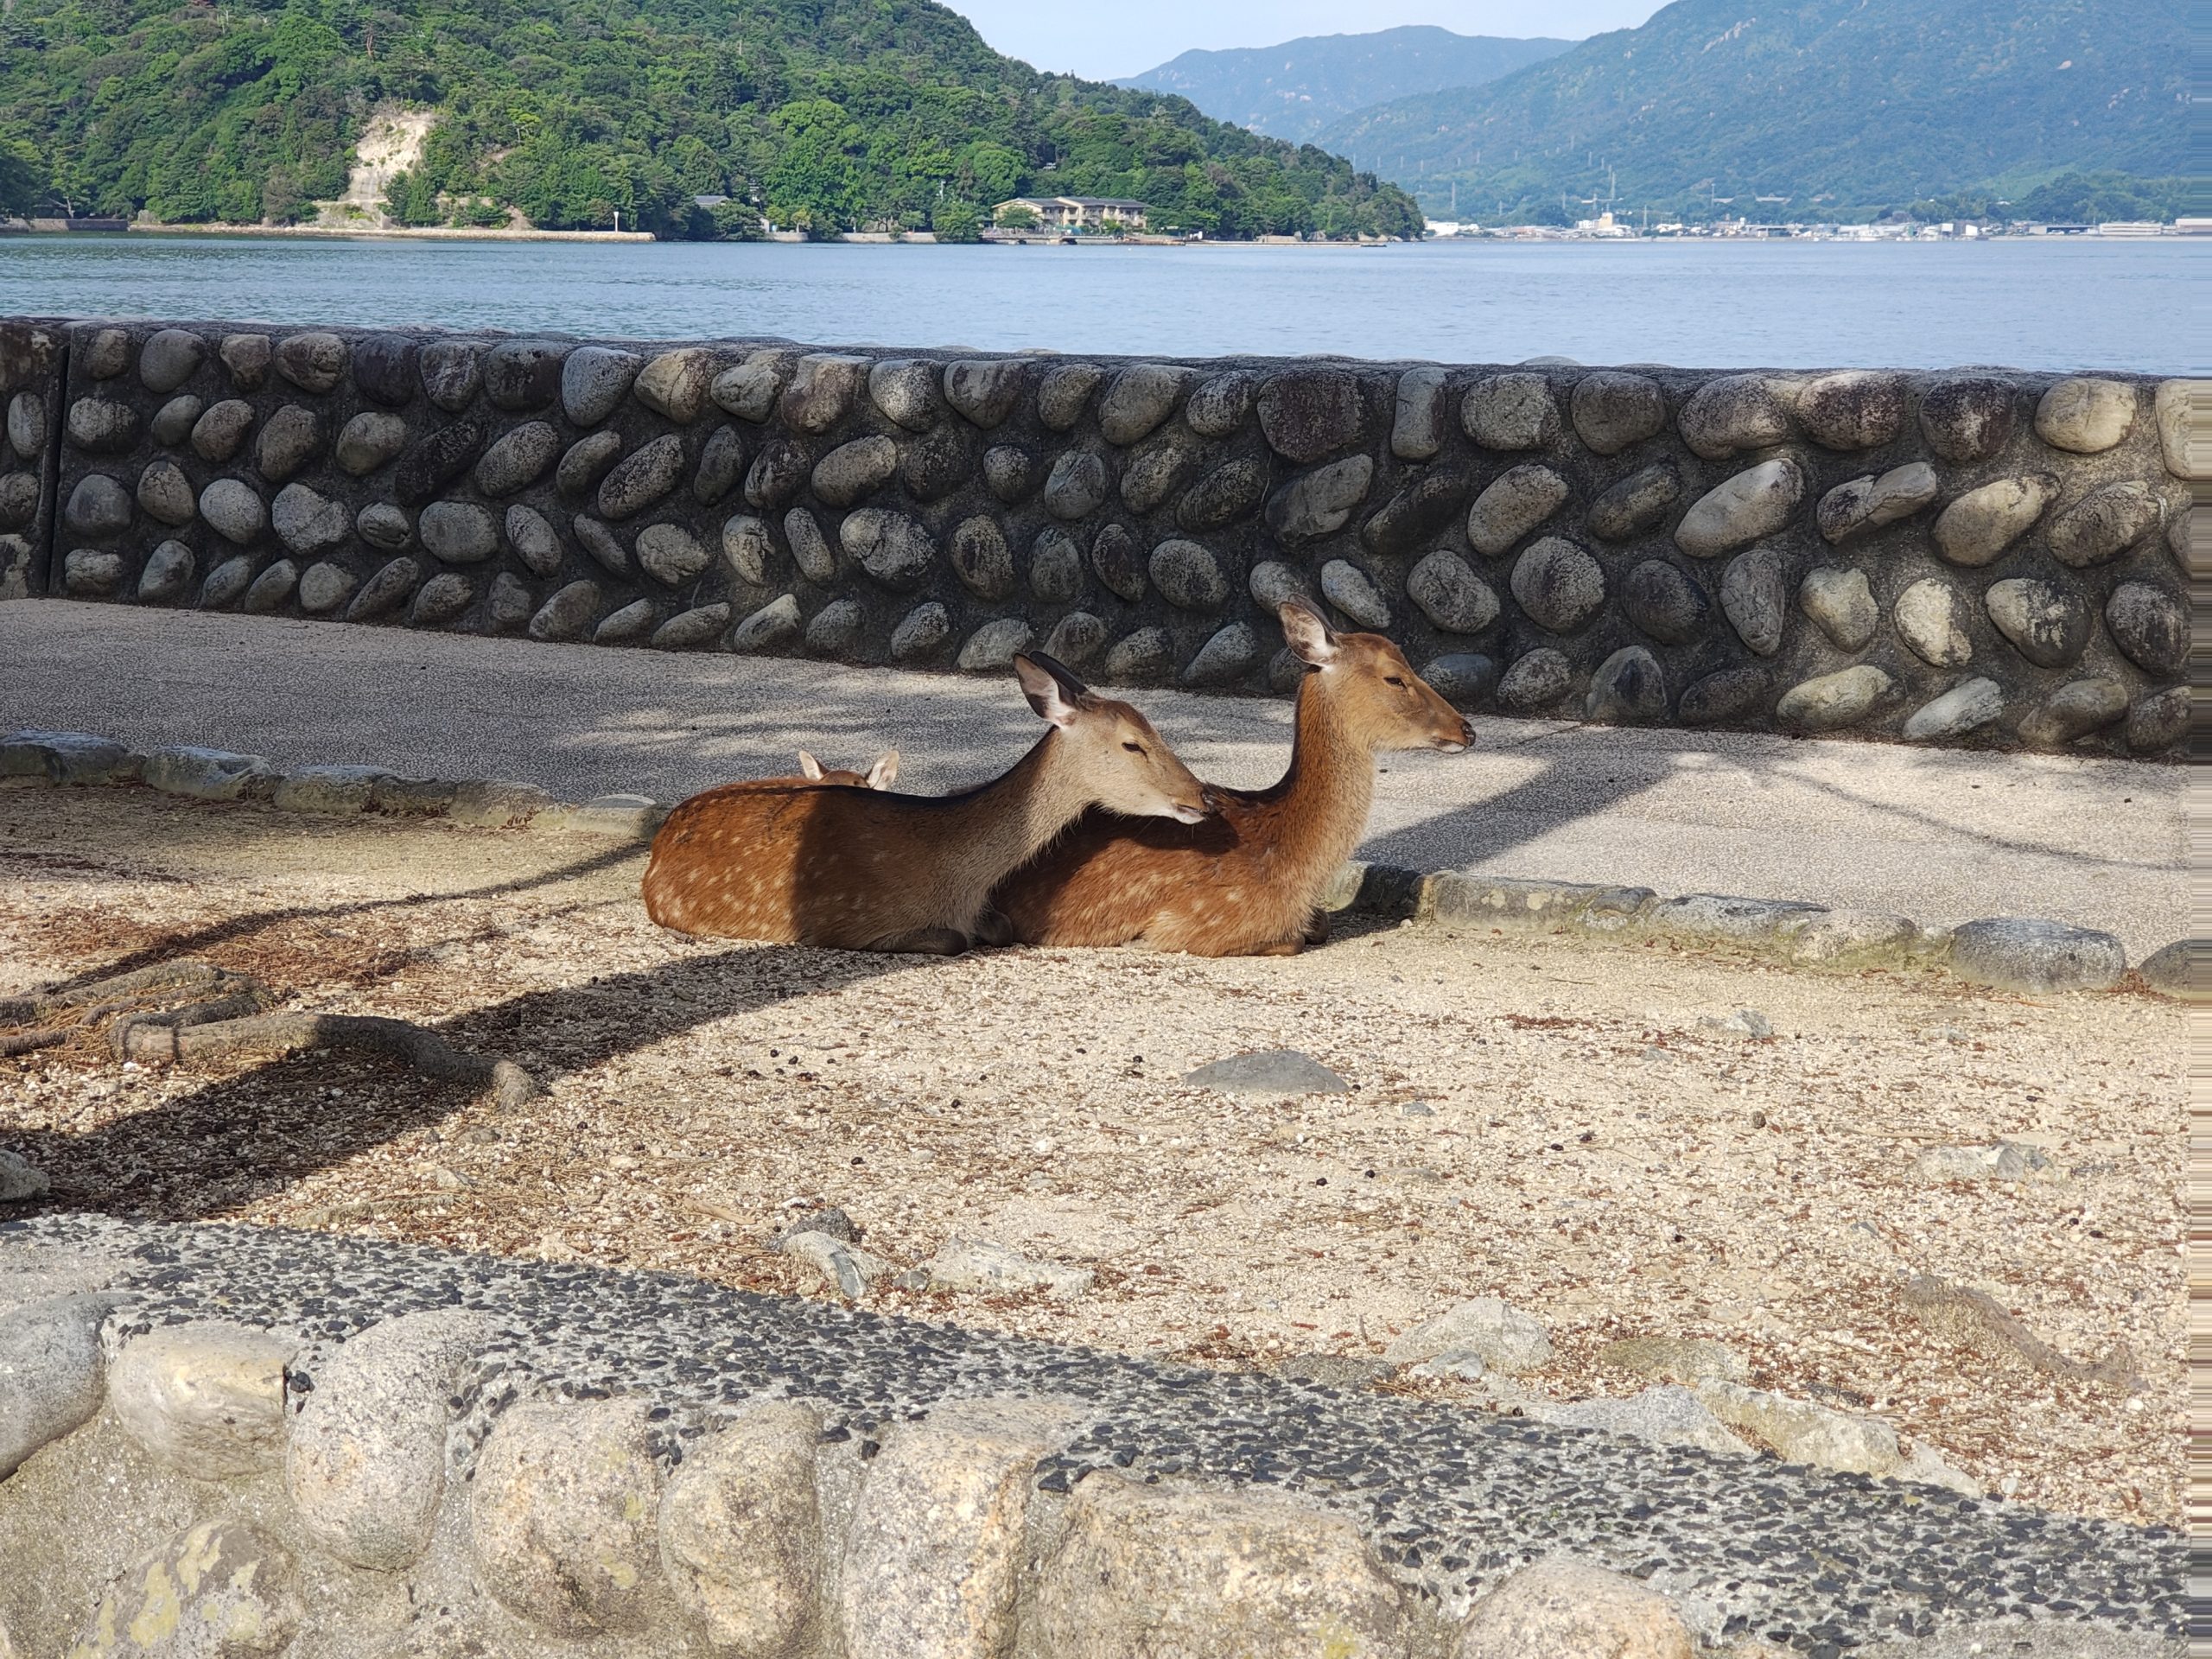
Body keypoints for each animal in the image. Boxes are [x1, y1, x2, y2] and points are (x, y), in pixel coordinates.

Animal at [642, 654, 1213, 954]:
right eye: (1132, 744)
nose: (1202, 796)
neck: (956, 882)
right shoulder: (847, 922)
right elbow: (953, 940)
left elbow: (1000, 927)